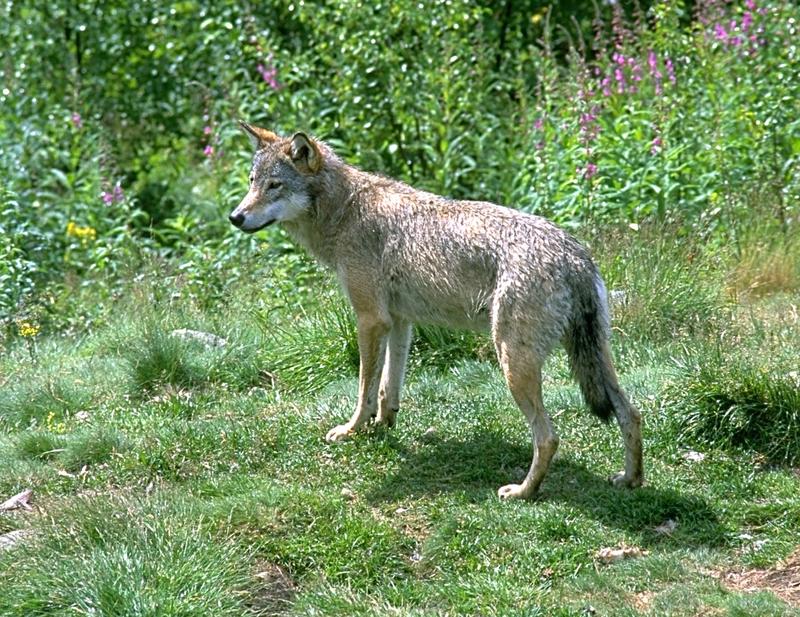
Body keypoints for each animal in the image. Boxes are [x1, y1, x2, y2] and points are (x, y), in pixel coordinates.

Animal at [228, 125, 640, 500]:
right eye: (252, 182)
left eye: (275, 186)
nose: (235, 217)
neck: (345, 210)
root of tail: (574, 256)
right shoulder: (399, 321)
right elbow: (387, 388)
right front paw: (384, 427)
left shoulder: (370, 319)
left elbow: (364, 389)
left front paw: (351, 430)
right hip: (596, 359)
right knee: (631, 413)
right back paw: (630, 480)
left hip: (513, 364)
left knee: (549, 438)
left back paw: (522, 492)